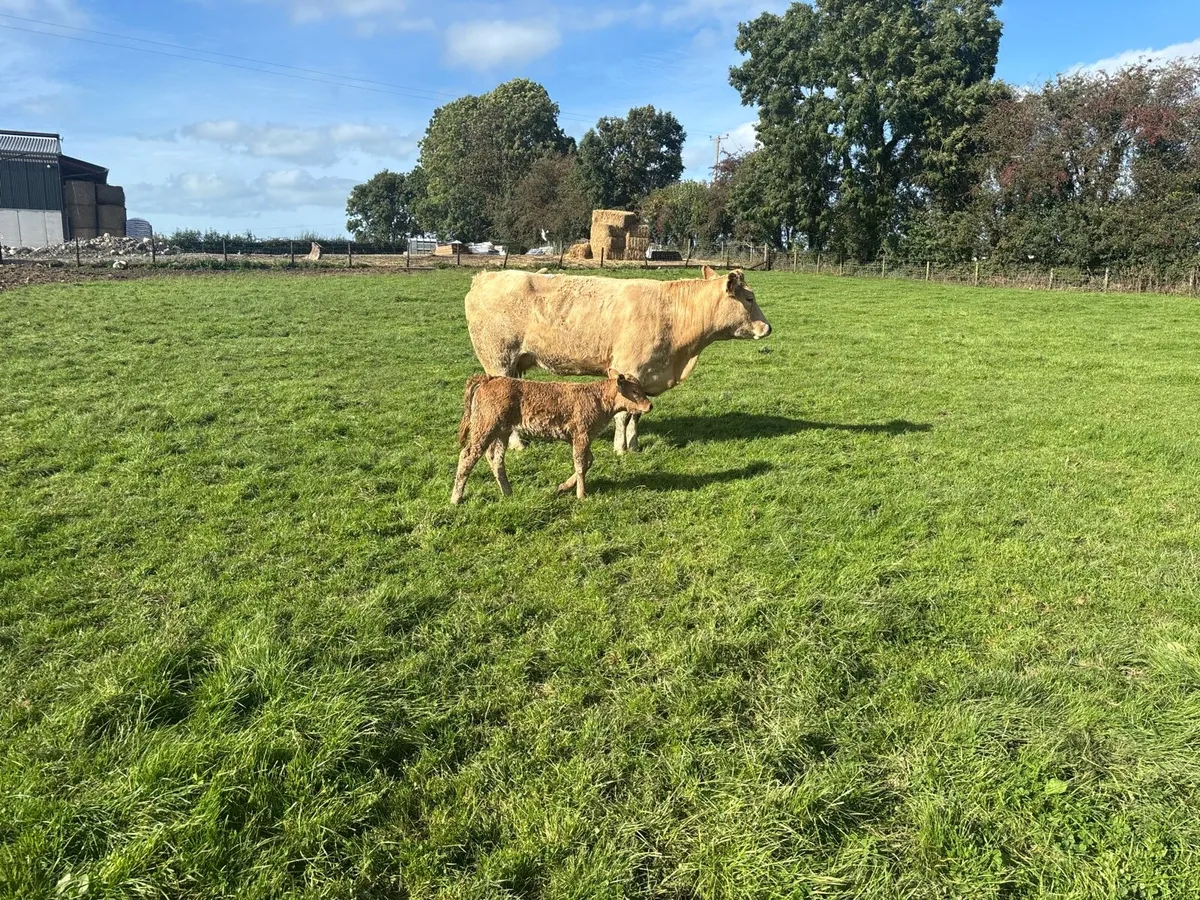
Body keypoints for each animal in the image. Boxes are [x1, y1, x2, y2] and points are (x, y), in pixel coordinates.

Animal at [450, 370, 653, 504]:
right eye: (635, 392)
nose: (650, 405)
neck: (597, 399)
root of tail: (489, 379)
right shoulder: (581, 435)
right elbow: (580, 464)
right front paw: (581, 495)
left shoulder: (583, 438)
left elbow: (588, 461)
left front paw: (563, 486)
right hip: (485, 428)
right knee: (468, 455)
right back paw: (456, 498)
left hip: (502, 432)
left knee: (495, 458)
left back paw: (508, 492)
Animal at [463, 265, 771, 454]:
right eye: (749, 298)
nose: (768, 327)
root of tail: (484, 277)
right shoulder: (626, 370)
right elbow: (623, 415)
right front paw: (620, 448)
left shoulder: (644, 377)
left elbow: (636, 415)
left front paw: (633, 446)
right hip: (498, 361)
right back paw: (517, 445)